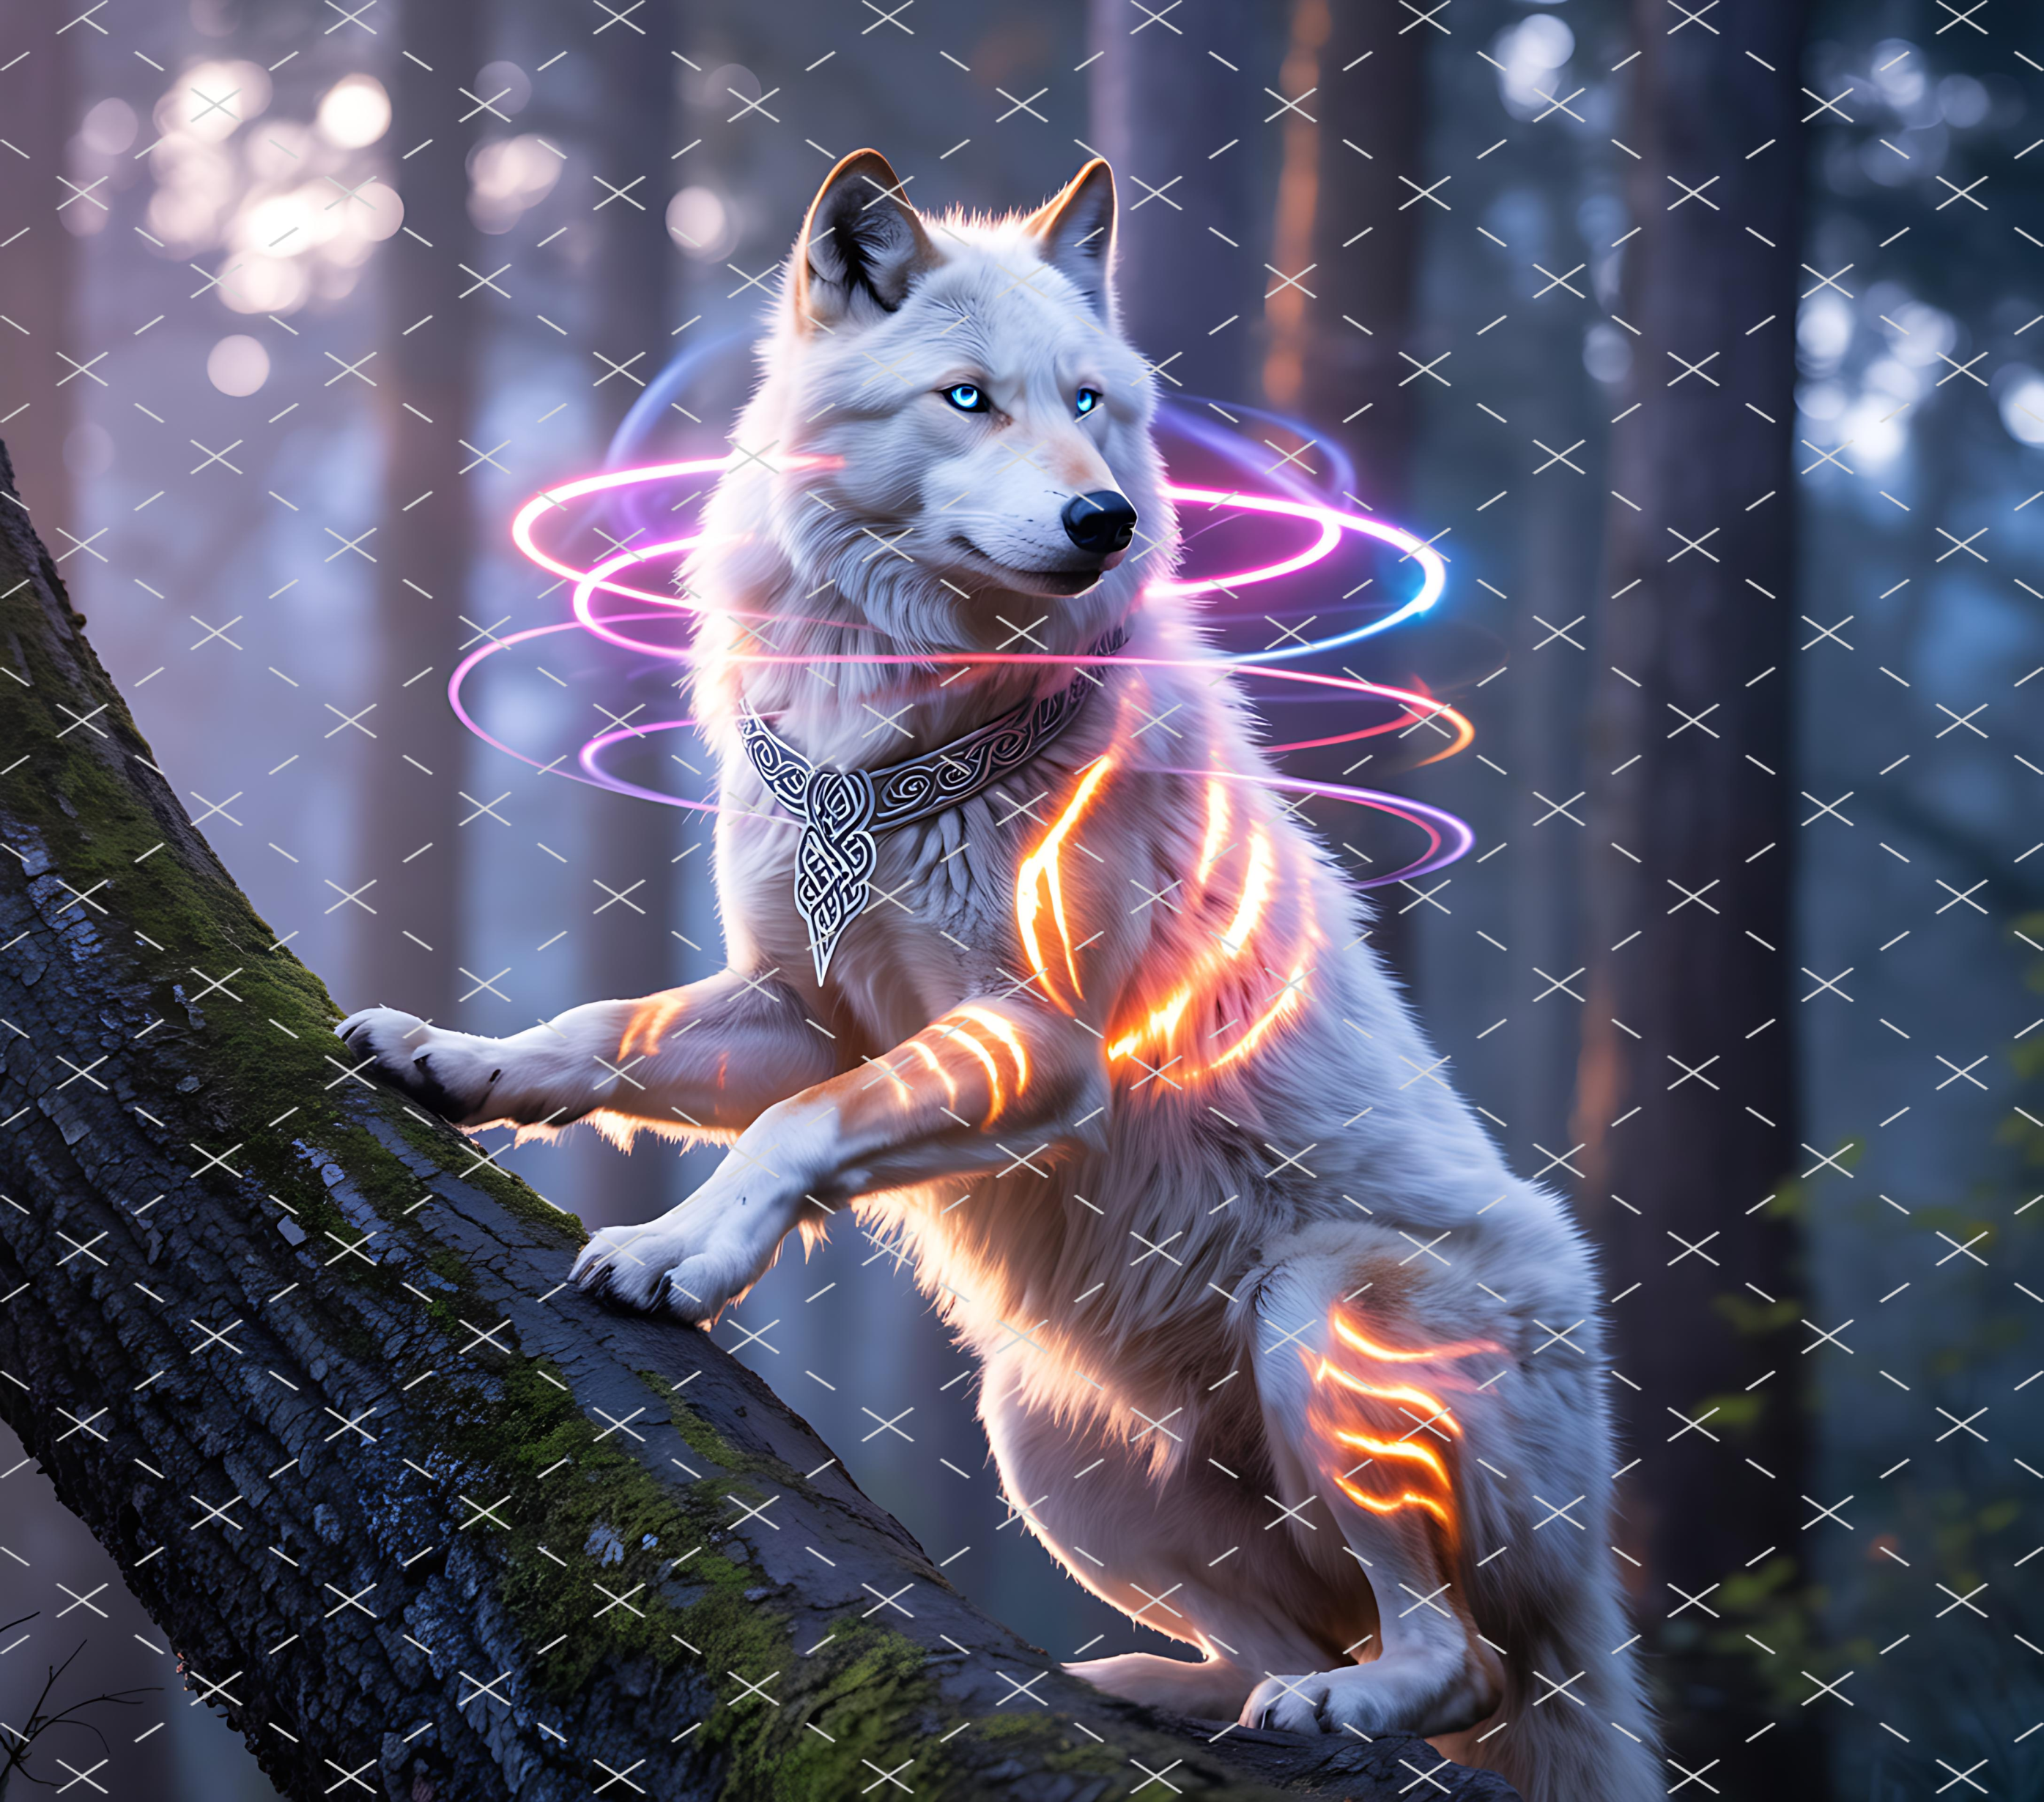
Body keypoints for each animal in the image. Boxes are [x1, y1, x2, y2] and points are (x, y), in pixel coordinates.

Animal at [339, 150, 1661, 1801]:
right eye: (968, 400)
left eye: (1090, 401)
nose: (1106, 518)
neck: (895, 712)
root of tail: (1598, 1568)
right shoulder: (807, 1010)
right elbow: (607, 1036)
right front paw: (450, 1061)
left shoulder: (1030, 1039)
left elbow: (792, 1140)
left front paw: (675, 1257)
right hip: (1044, 1438)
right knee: (1283, 1650)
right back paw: (1159, 1687)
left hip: (1312, 1312)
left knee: (1450, 1665)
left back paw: (1338, 1706)